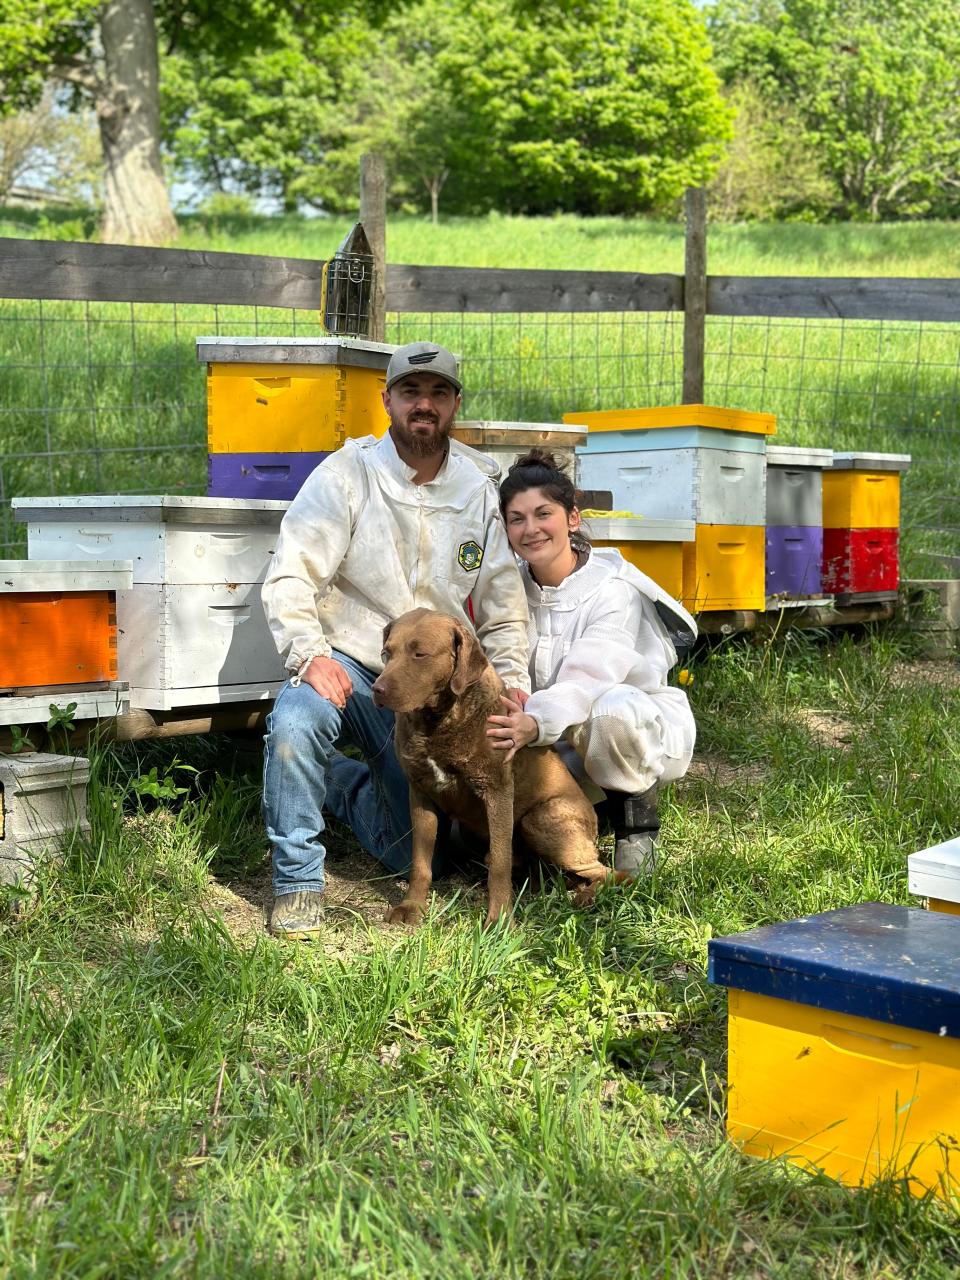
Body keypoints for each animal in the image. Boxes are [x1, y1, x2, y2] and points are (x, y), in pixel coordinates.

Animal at [371, 604, 619, 926]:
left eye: (420, 654)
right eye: (387, 652)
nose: (377, 689)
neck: (439, 721)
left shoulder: (497, 791)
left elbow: (499, 864)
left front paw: (499, 919)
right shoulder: (421, 792)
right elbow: (421, 861)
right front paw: (412, 906)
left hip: (542, 818)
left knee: (610, 872)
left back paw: (587, 896)